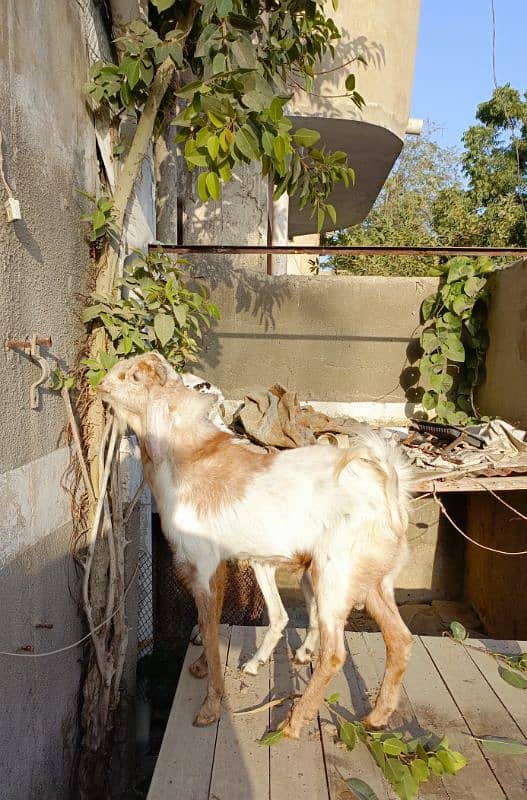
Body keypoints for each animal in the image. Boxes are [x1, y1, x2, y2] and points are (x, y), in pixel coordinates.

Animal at [98, 354, 412, 740]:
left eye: (132, 376)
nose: (100, 384)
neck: (186, 453)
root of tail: (387, 487)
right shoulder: (214, 568)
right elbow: (209, 624)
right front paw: (202, 668)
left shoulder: (203, 565)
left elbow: (207, 628)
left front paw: (210, 708)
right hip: (373, 583)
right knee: (400, 641)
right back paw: (375, 718)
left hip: (333, 580)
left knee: (335, 654)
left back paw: (294, 722)